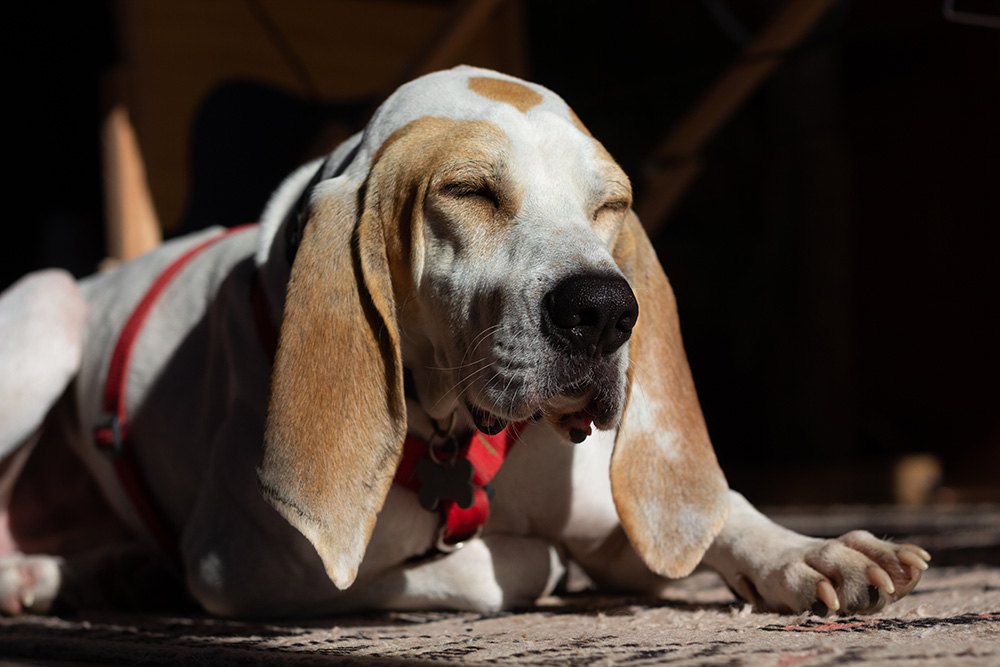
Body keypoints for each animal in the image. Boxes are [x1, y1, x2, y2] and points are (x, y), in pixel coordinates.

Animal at [0, 65, 928, 620]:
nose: (603, 311)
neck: (456, 434)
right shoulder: (250, 561)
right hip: (48, 306)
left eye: (610, 204)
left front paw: (811, 551)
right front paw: (540, 560)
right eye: (470, 191)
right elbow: (495, 568)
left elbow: (718, 512)